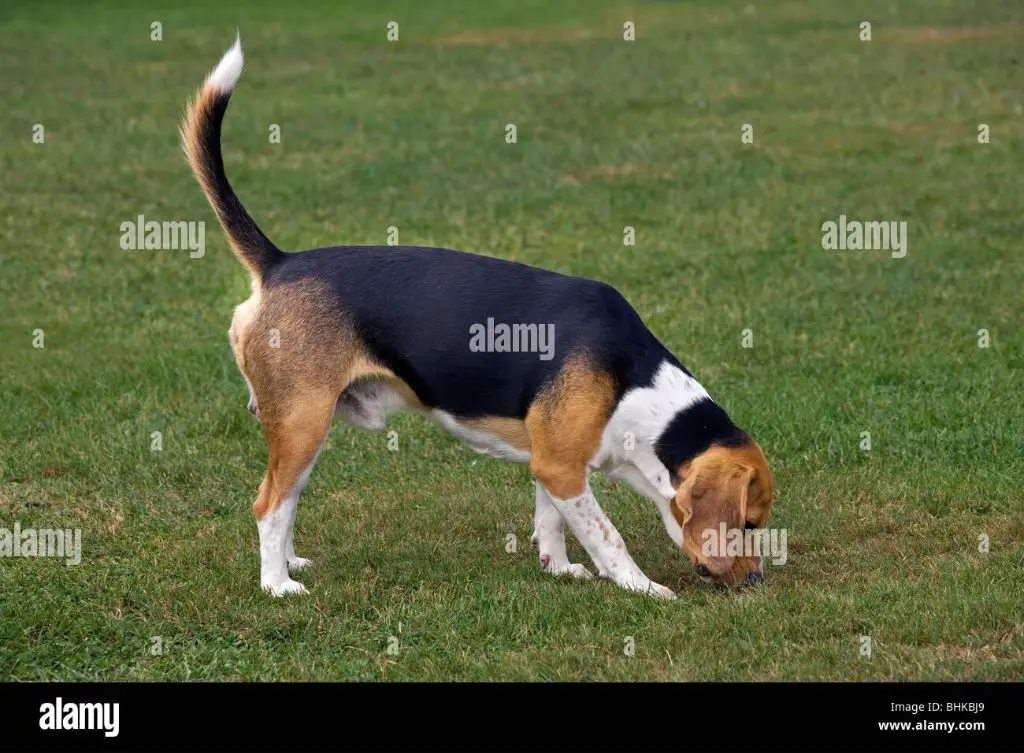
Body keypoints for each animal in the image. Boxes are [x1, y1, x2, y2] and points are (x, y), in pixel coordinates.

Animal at [184, 36, 774, 602]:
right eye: (747, 523)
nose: (756, 580)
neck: (638, 389)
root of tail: (280, 262)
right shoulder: (562, 468)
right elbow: (608, 537)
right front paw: (642, 587)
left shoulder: (552, 462)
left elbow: (552, 522)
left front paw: (560, 570)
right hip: (302, 420)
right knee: (269, 505)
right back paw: (277, 584)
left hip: (304, 429)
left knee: (287, 500)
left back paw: (291, 562)